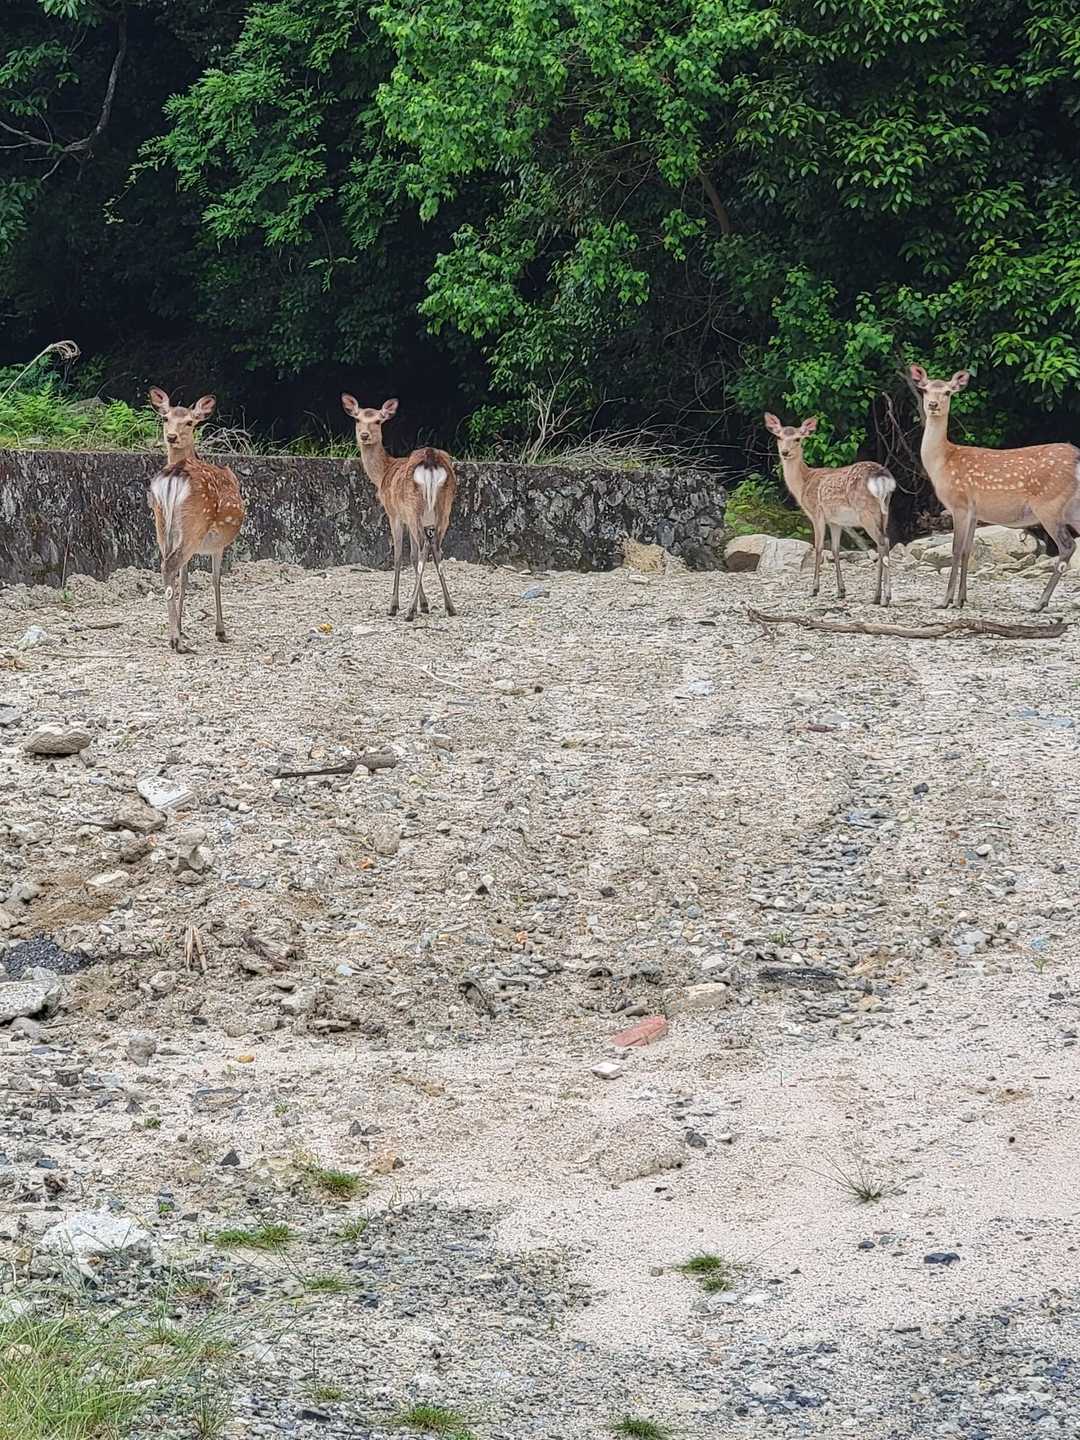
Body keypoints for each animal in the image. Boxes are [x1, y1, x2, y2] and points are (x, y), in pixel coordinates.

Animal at [147, 389, 245, 652]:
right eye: (165, 418)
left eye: (190, 422)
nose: (171, 436)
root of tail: (176, 472)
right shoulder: (218, 544)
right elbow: (215, 579)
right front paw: (221, 631)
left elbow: (185, 579)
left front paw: (183, 627)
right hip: (195, 524)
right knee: (169, 565)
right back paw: (176, 642)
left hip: (162, 524)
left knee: (167, 566)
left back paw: (175, 636)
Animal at [341, 395, 457, 621]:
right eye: (358, 419)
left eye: (378, 420)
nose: (365, 435)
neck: (382, 474)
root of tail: (430, 458)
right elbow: (416, 556)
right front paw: (425, 605)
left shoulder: (394, 514)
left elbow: (399, 557)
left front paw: (395, 606)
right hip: (443, 509)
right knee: (436, 549)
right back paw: (450, 607)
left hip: (414, 509)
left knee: (422, 549)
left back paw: (409, 611)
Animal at [763, 414, 897, 604]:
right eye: (779, 437)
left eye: (797, 438)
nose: (785, 452)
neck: (803, 484)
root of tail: (882, 477)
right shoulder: (836, 521)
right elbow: (835, 549)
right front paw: (841, 591)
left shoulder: (816, 513)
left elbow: (818, 547)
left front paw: (814, 589)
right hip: (884, 511)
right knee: (884, 541)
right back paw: (881, 595)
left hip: (865, 511)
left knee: (882, 541)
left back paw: (882, 596)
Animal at [910, 366, 1080, 610]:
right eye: (924, 390)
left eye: (948, 392)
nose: (933, 405)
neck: (942, 462)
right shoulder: (974, 512)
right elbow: (967, 551)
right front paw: (961, 599)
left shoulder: (959, 504)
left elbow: (955, 549)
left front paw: (945, 601)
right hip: (1072, 507)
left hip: (1049, 503)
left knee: (1067, 546)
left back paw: (1040, 603)